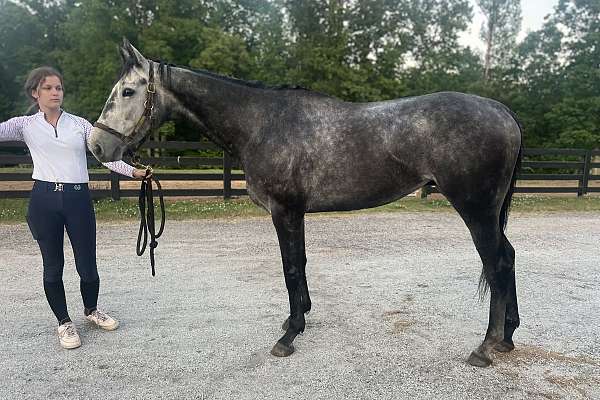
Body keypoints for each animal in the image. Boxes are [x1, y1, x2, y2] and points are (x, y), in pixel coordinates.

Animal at [88, 39, 520, 368]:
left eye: (128, 91)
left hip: (476, 211)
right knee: (509, 257)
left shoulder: (286, 212)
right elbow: (300, 264)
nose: (97, 146)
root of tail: (503, 111)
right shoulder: (295, 215)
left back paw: (485, 347)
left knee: (496, 263)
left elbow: (291, 268)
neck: (261, 123)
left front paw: (290, 334)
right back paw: (508, 337)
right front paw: (295, 319)